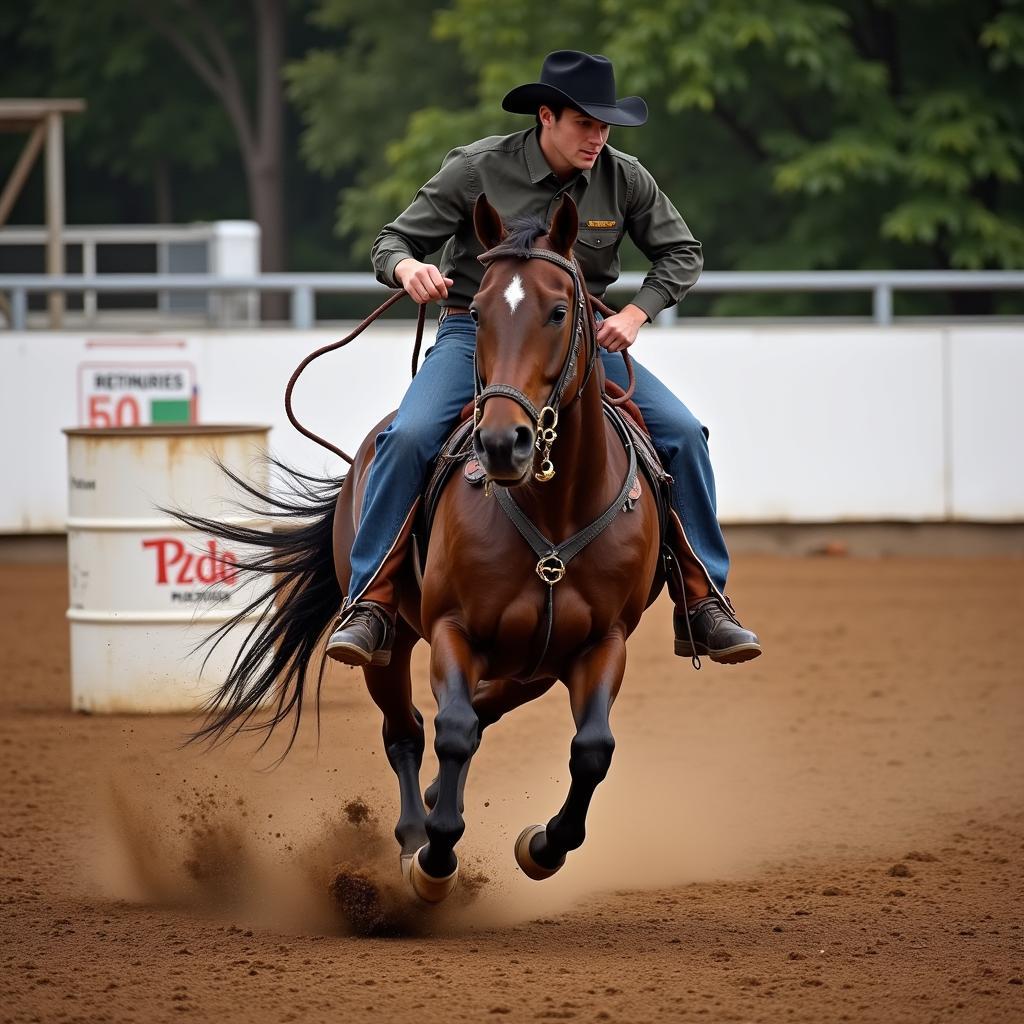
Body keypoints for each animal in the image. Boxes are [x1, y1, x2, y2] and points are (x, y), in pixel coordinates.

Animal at [180, 193, 663, 905]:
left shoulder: (602, 642)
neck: (553, 510)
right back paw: (414, 832)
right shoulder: (452, 629)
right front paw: (435, 858)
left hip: (537, 662)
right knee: (405, 728)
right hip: (390, 640)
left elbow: (592, 748)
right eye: (478, 309)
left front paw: (544, 846)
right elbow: (453, 730)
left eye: (558, 311)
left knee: (481, 711)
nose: (502, 443)